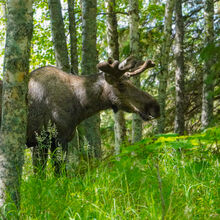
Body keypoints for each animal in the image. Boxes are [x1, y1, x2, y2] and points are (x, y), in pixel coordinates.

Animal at [0, 56, 161, 174]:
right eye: (121, 85)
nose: (155, 107)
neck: (80, 106)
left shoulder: (41, 142)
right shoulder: (52, 139)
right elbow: (57, 174)